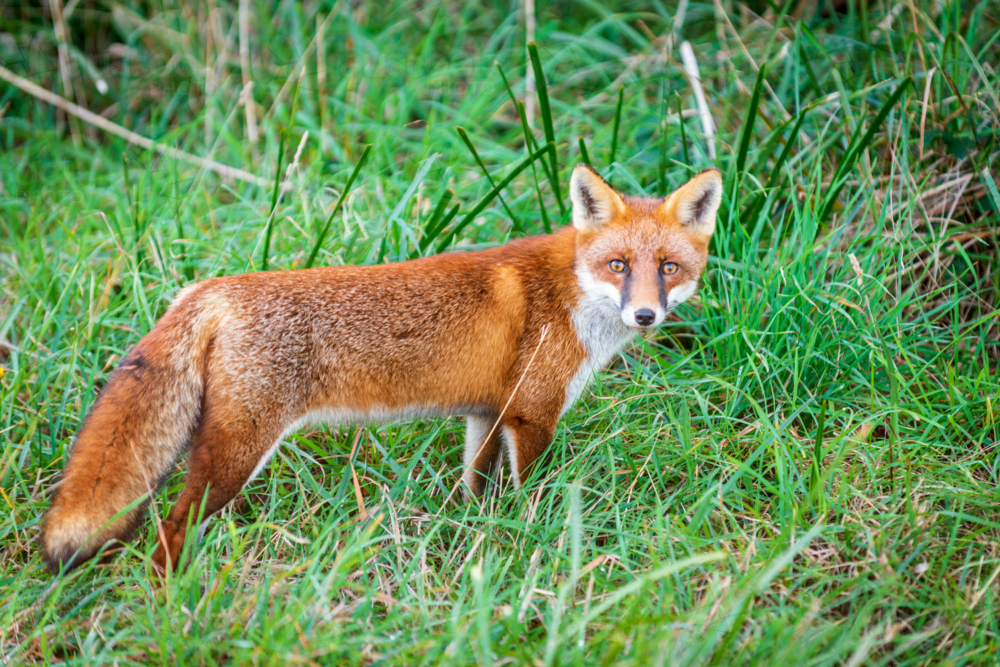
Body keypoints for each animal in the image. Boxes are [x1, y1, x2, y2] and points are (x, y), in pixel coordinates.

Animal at [41, 164, 722, 574]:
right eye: (617, 265)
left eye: (668, 268)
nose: (645, 316)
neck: (572, 298)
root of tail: (210, 289)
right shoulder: (533, 414)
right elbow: (531, 497)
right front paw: (532, 542)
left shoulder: (487, 414)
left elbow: (476, 490)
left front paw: (478, 540)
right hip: (236, 450)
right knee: (170, 526)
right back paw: (176, 599)